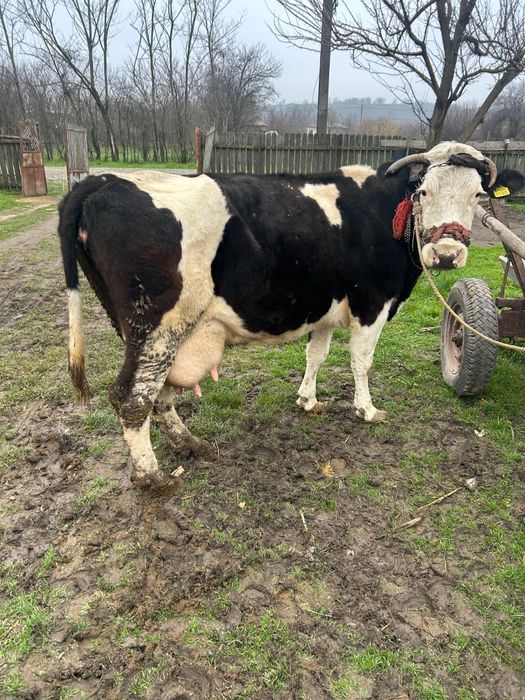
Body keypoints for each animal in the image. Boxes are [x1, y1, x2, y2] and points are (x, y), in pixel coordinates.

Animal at [58, 141, 525, 488]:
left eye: (477, 195)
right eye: (424, 192)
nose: (446, 255)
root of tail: (104, 182)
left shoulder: (325, 309)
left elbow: (316, 355)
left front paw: (308, 399)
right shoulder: (372, 304)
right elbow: (362, 362)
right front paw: (367, 410)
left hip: (145, 330)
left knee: (157, 393)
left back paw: (188, 444)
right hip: (158, 324)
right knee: (132, 395)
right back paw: (152, 475)